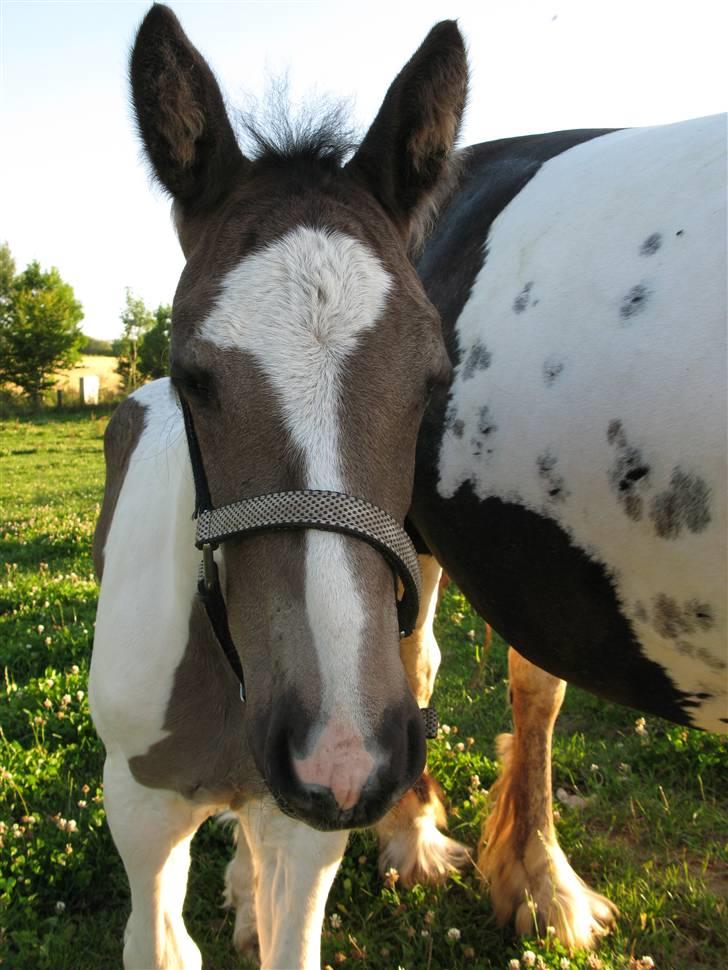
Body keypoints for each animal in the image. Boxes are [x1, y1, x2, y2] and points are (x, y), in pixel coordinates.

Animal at [91, 7, 466, 968]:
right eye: (194, 376)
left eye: (435, 378)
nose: (340, 756)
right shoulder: (137, 808)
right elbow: (161, 945)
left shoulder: (309, 830)